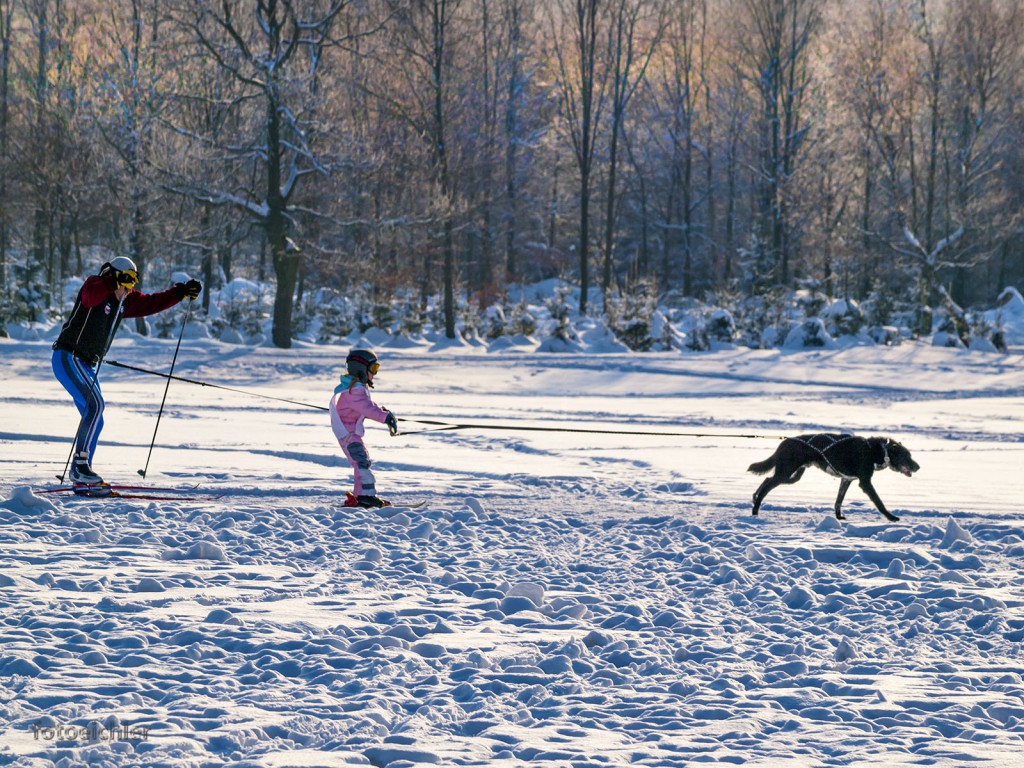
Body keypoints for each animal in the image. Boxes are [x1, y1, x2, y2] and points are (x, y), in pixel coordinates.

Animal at [745, 434, 921, 524]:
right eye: (907, 456)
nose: (918, 467)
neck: (874, 450)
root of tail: (785, 442)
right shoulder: (865, 482)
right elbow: (879, 502)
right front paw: (891, 517)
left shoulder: (846, 480)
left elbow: (838, 501)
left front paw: (838, 517)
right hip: (786, 472)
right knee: (767, 486)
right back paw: (755, 510)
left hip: (792, 476)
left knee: (767, 479)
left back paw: (754, 498)